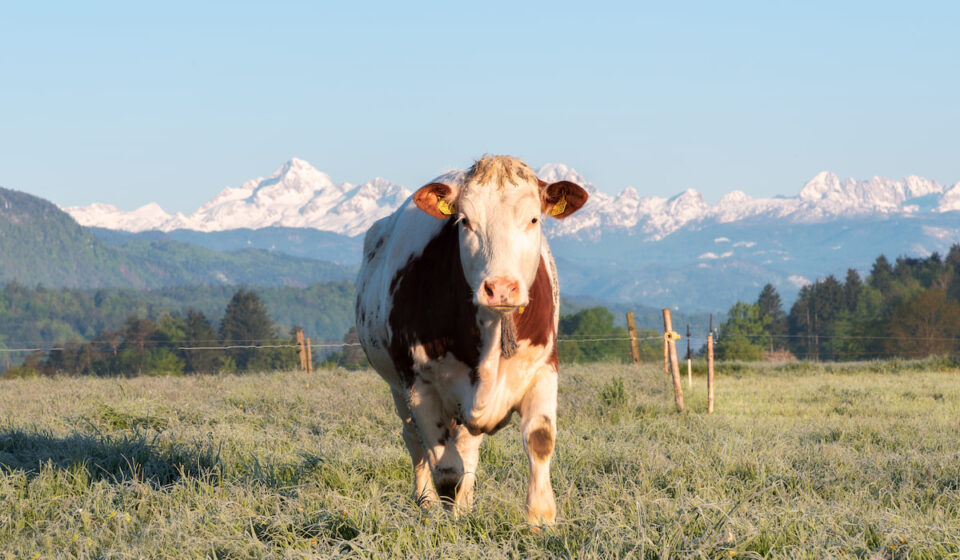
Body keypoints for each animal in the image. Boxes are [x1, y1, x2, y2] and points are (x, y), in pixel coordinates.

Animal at [354, 155, 587, 527]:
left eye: (533, 218)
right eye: (465, 221)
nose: (501, 288)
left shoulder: (544, 367)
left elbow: (539, 439)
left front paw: (541, 519)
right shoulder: (419, 384)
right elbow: (446, 468)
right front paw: (452, 522)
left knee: (466, 445)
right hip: (397, 387)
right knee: (415, 441)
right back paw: (426, 503)